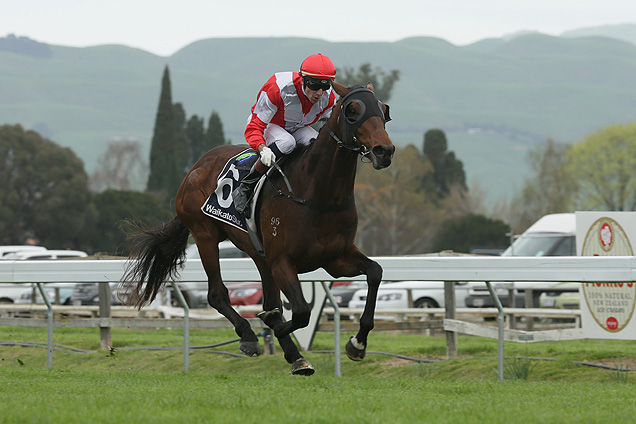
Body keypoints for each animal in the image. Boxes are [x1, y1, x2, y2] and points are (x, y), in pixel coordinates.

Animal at [121, 81, 396, 372]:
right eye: (352, 111)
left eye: (383, 109)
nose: (384, 150)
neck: (317, 193)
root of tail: (195, 168)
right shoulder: (282, 261)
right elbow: (300, 312)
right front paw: (273, 328)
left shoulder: (336, 258)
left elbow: (375, 272)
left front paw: (357, 343)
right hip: (205, 234)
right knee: (217, 294)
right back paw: (250, 336)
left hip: (258, 253)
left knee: (269, 300)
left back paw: (295, 356)